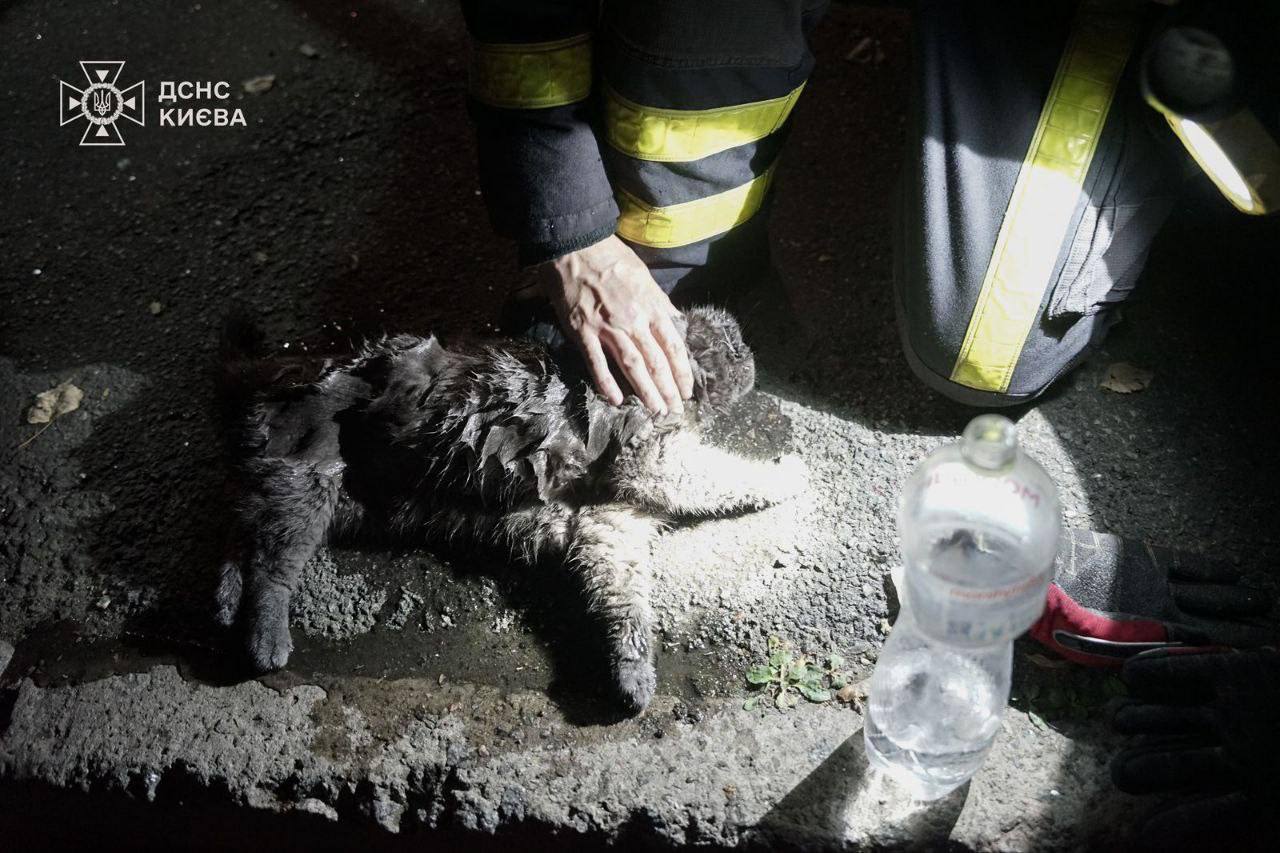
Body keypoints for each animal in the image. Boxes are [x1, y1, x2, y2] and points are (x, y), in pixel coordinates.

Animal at [215, 306, 803, 712]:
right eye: (733, 345)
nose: (751, 353)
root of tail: (279, 369)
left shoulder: (610, 520)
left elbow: (624, 599)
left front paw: (631, 669)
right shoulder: (650, 455)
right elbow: (724, 474)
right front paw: (789, 472)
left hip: (330, 498)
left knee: (239, 535)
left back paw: (224, 599)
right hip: (307, 476)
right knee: (270, 566)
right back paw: (264, 638)